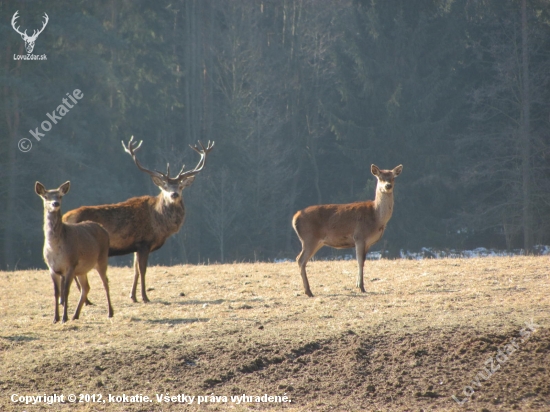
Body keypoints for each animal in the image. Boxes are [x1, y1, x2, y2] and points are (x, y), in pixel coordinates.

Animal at [35, 182, 113, 324]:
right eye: (45, 196)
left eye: (60, 196)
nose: (55, 203)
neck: (55, 249)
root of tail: (104, 229)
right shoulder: (52, 268)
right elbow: (56, 292)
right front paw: (55, 318)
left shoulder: (71, 264)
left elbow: (66, 291)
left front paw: (64, 318)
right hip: (82, 269)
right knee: (86, 287)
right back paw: (75, 315)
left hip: (102, 259)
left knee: (105, 283)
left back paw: (110, 313)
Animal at [62, 138, 213, 302]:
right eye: (164, 186)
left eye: (180, 186)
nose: (174, 194)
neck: (159, 223)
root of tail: (64, 218)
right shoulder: (144, 243)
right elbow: (143, 270)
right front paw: (145, 297)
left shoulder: (135, 246)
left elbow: (135, 270)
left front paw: (133, 296)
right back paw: (87, 300)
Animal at [294, 164, 406, 296]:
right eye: (380, 177)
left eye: (393, 178)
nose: (388, 186)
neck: (377, 217)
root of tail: (295, 217)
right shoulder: (359, 236)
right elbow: (359, 261)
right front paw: (361, 287)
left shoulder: (367, 243)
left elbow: (363, 261)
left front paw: (359, 285)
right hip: (309, 238)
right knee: (301, 260)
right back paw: (308, 291)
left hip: (316, 242)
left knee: (300, 259)